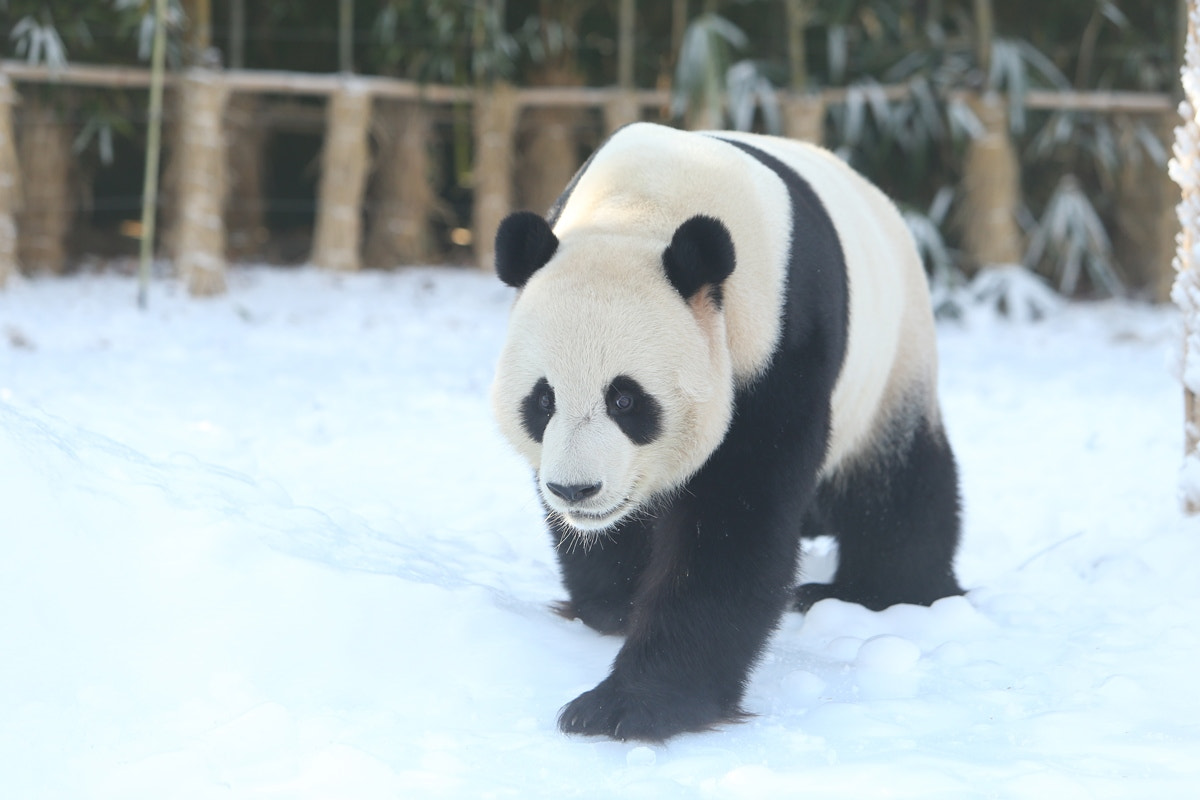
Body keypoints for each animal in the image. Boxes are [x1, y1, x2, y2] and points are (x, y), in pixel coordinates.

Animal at [491, 121, 962, 742]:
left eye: (626, 400)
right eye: (542, 400)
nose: (576, 491)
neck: (641, 209)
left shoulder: (778, 347)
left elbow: (734, 527)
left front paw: (626, 707)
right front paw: (615, 603)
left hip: (892, 362)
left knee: (899, 486)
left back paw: (879, 594)